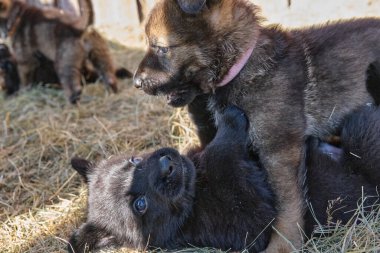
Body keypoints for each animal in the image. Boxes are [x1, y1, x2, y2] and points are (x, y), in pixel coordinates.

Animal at [68, 105, 380, 253]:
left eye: (133, 161)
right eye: (139, 205)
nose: (168, 165)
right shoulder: (248, 216)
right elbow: (221, 152)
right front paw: (231, 118)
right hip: (362, 140)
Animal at [133, 0, 380, 251]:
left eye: (161, 48)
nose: (136, 82)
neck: (240, 63)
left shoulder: (279, 152)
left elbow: (287, 205)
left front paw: (283, 244)